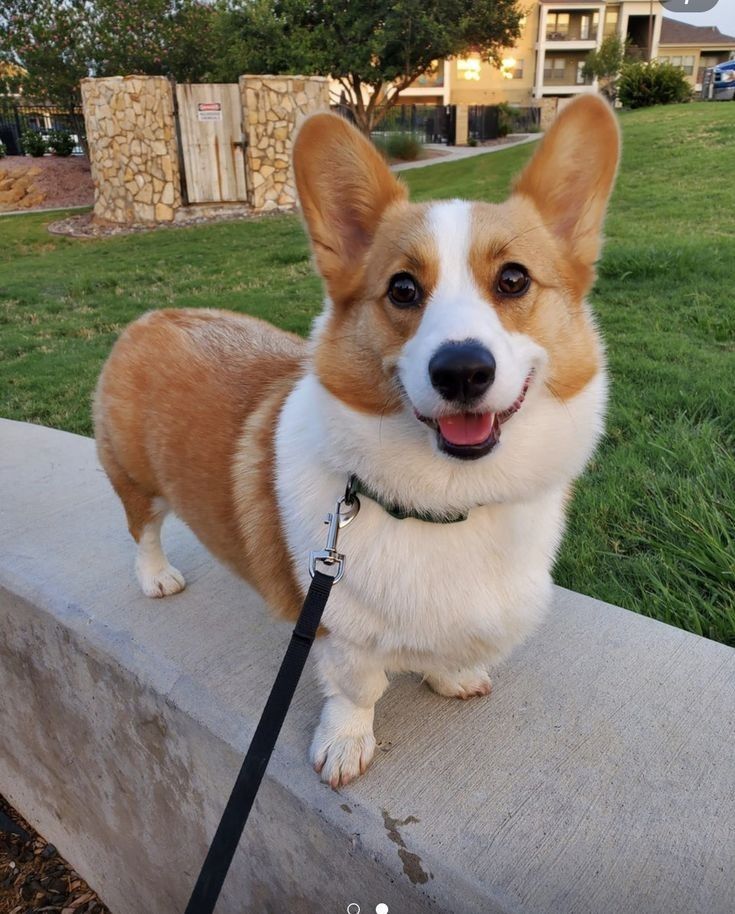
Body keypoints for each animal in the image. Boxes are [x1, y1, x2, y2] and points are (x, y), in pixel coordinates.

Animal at [93, 96, 620, 788]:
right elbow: (358, 689)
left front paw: (452, 677)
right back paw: (156, 577)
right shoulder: (339, 630)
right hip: (134, 478)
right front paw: (345, 745)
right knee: (144, 529)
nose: (461, 371)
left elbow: (442, 655)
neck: (449, 503)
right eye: (402, 288)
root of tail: (151, 316)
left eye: (513, 280)